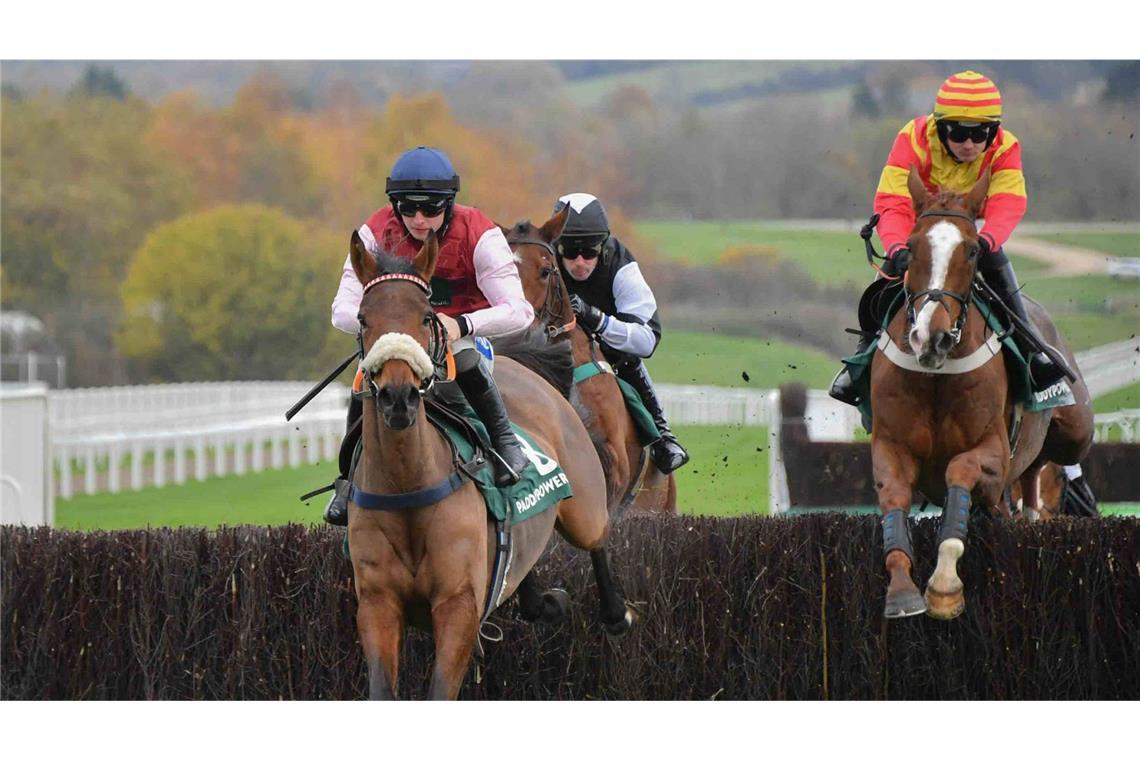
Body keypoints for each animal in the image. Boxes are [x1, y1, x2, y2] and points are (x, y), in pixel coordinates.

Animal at [342, 229, 638, 697]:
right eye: (362, 318)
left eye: (427, 317)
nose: (398, 397)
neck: (407, 485)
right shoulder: (376, 603)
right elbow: (382, 689)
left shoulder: (457, 604)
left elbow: (440, 690)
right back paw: (543, 601)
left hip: (585, 507)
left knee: (598, 538)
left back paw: (615, 613)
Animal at [870, 169, 1094, 619]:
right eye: (911, 249)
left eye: (973, 251)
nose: (931, 337)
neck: (936, 374)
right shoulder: (890, 447)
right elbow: (895, 501)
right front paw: (903, 590)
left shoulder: (992, 454)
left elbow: (960, 471)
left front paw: (944, 585)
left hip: (1076, 430)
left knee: (1043, 463)